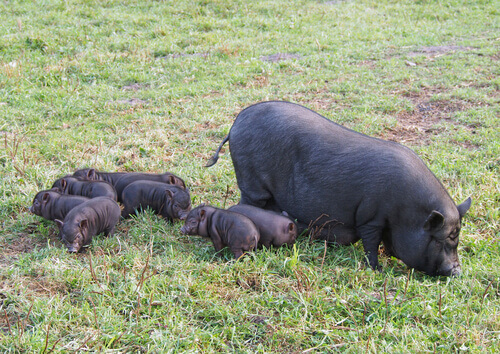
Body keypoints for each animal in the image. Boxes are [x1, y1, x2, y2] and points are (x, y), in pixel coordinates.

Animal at [205, 101, 470, 276]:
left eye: (456, 237)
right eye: (442, 239)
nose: (457, 271)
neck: (406, 214)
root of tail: (234, 125)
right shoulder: (371, 216)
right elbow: (371, 243)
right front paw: (377, 269)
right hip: (252, 184)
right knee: (248, 204)